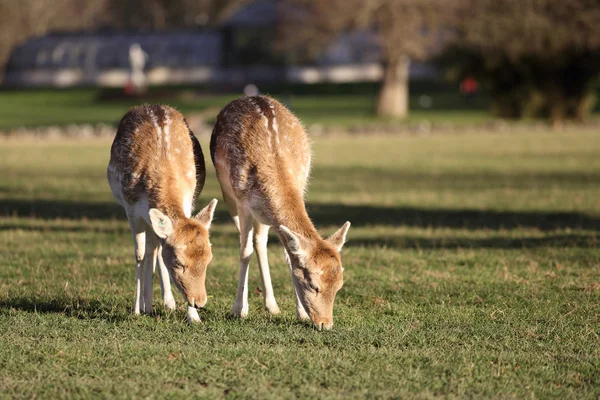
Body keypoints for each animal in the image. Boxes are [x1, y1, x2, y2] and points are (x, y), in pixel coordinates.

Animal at [108, 104, 218, 324]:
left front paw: (193, 317)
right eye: (179, 262)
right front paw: (137, 309)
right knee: (151, 249)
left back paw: (166, 303)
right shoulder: (131, 209)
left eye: (208, 260)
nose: (200, 302)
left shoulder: (189, 200)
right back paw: (147, 305)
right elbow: (140, 254)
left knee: (157, 247)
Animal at [211, 95, 352, 330]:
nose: (325, 324)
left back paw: (272, 306)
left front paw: (301, 314)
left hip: (263, 216)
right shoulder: (242, 203)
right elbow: (244, 251)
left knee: (260, 241)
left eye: (339, 285)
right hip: (228, 194)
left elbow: (288, 255)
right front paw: (238, 310)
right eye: (313, 285)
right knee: (250, 242)